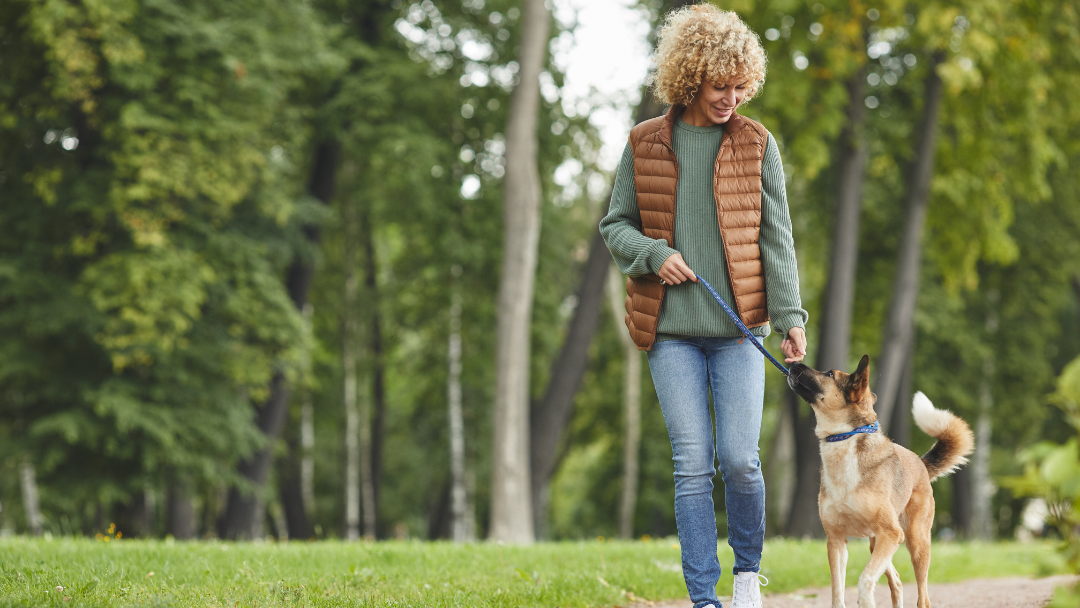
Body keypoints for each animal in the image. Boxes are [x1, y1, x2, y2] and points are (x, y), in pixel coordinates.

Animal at [786, 354, 980, 604]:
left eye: (829, 374)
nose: (793, 364)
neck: (844, 439)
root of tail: (921, 463)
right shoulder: (836, 542)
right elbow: (837, 592)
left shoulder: (891, 534)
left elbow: (864, 579)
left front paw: (865, 601)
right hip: (876, 542)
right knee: (896, 580)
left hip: (914, 541)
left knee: (923, 596)